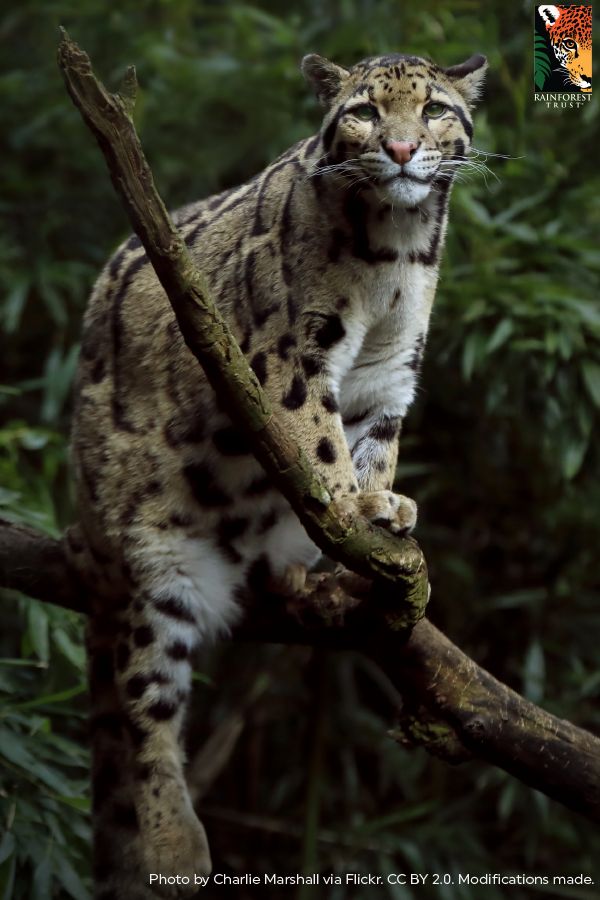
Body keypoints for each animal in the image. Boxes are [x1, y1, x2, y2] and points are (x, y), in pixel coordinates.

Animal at [68, 51, 488, 900]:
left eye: (433, 108)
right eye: (364, 111)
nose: (400, 150)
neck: (398, 254)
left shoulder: (390, 371)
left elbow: (371, 443)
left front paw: (376, 512)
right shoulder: (291, 354)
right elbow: (317, 442)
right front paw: (353, 509)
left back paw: (292, 571)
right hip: (154, 566)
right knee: (145, 705)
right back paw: (175, 844)